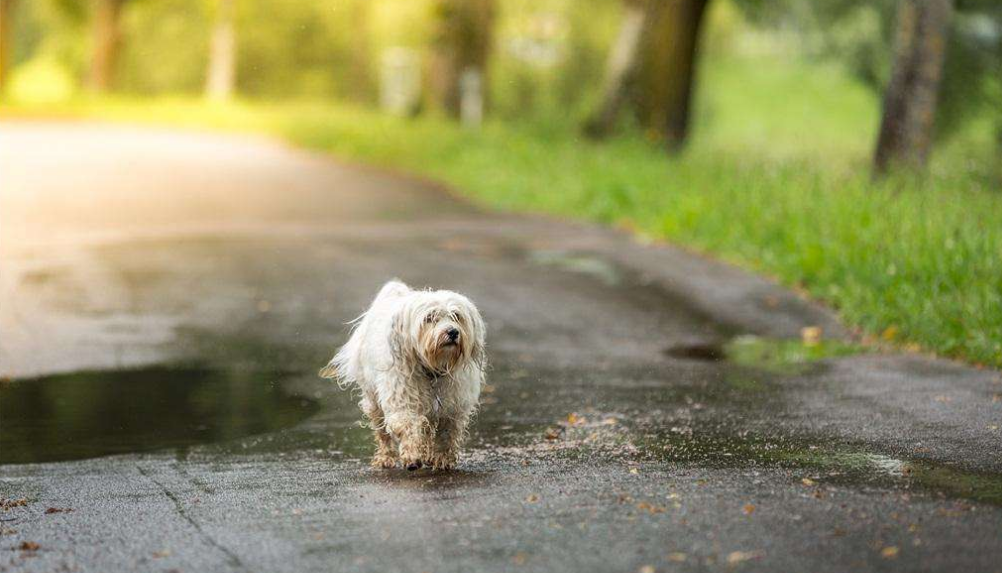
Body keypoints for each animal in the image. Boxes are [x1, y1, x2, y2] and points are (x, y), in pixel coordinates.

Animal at [318, 278, 486, 470]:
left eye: (456, 316)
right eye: (429, 318)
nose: (452, 332)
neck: (432, 369)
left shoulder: (453, 409)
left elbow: (446, 434)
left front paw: (442, 458)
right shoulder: (402, 401)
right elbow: (409, 426)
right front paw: (412, 456)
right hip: (374, 400)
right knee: (383, 432)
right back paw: (386, 457)